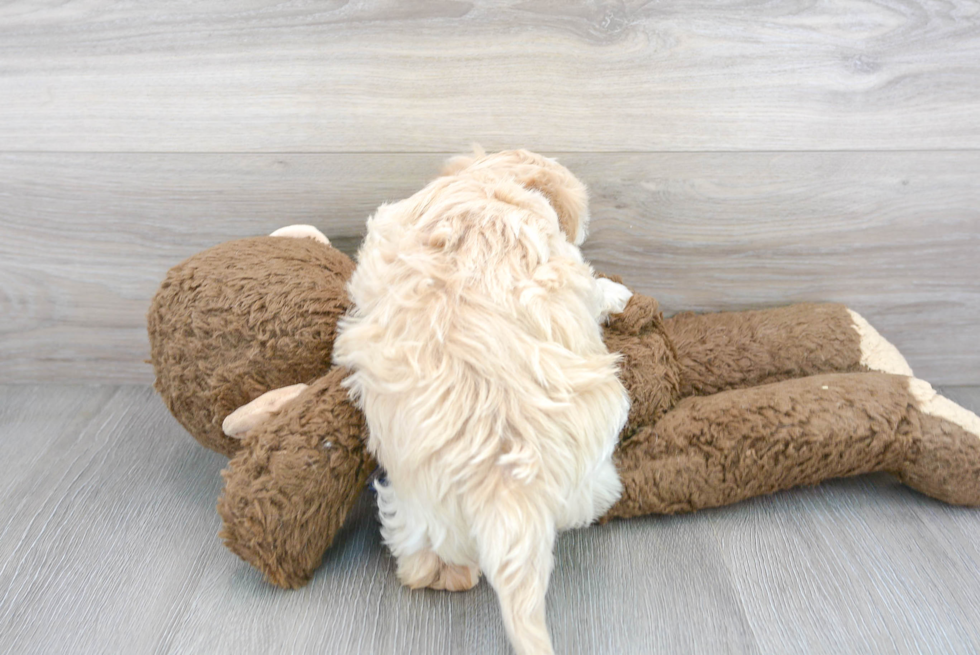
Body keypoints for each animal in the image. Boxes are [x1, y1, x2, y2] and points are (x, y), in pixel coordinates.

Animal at [334, 150, 632, 655]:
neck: (486, 186)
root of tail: (504, 487)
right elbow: (593, 288)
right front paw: (618, 292)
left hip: (417, 508)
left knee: (424, 558)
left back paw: (443, 573)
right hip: (588, 464)